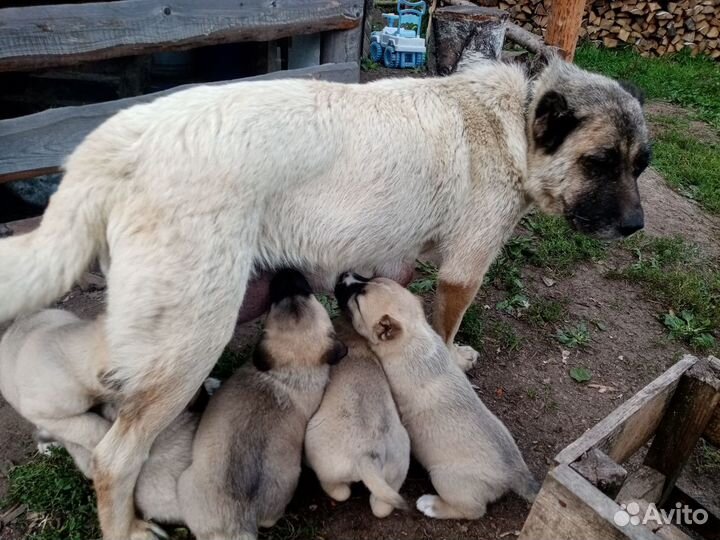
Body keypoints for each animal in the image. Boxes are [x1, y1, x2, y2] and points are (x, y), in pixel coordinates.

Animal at [302, 318, 410, 516]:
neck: (354, 343)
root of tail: (366, 455)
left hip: (320, 452)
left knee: (338, 490)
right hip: (396, 473)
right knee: (381, 506)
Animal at [338, 274, 540, 520]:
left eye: (357, 301)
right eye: (367, 278)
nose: (342, 275)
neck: (414, 337)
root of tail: (514, 472)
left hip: (444, 478)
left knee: (473, 511)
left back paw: (431, 505)